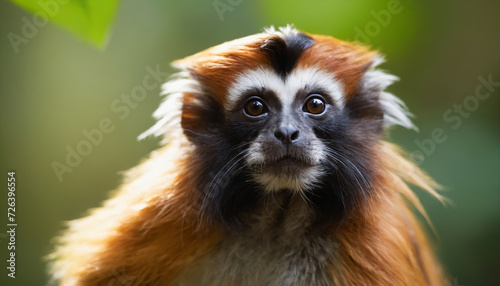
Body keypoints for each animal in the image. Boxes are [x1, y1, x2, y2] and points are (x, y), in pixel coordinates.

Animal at [49, 25, 446, 284]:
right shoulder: (163, 219)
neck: (278, 219)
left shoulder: (373, 245)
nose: (287, 133)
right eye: (255, 107)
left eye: (315, 105)